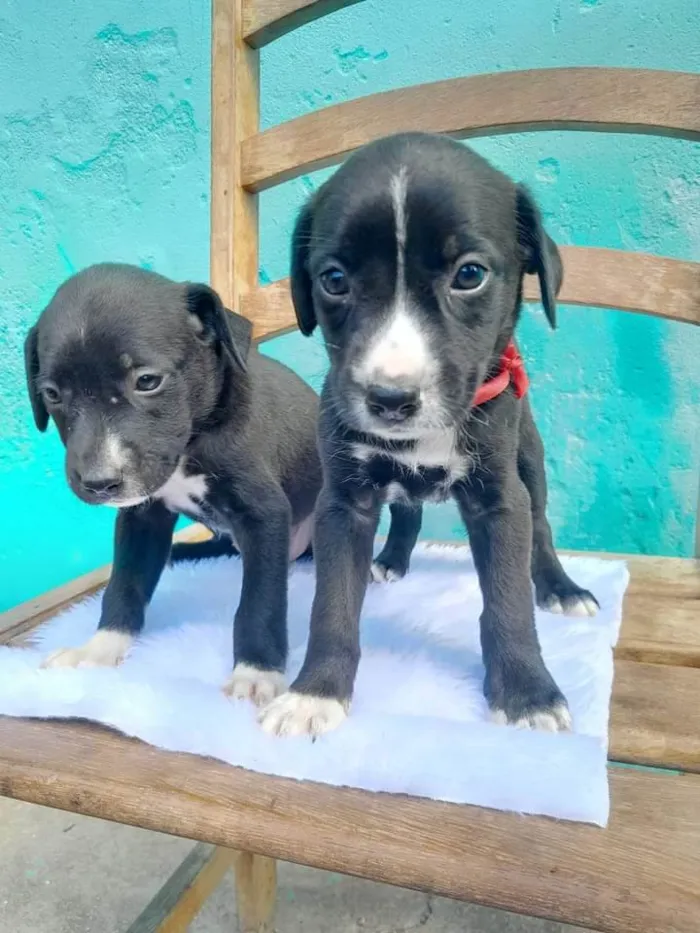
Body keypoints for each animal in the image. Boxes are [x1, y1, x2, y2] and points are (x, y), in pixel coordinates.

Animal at [260, 133, 600, 744]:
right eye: (333, 280)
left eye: (470, 274)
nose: (390, 399)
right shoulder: (343, 503)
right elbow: (332, 604)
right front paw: (314, 693)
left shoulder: (500, 499)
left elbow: (509, 601)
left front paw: (528, 694)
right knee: (409, 511)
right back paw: (391, 559)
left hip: (530, 460)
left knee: (540, 526)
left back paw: (561, 588)